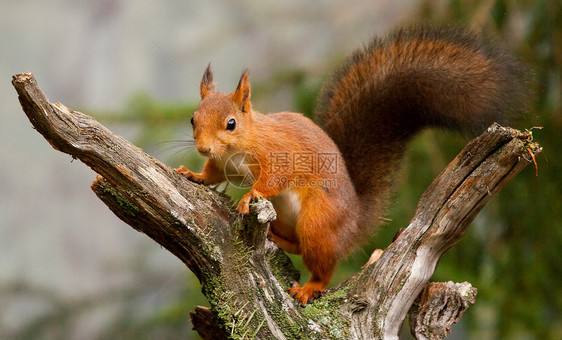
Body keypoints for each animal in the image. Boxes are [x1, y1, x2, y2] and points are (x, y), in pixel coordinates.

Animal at [174, 26, 524, 306]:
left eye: (231, 123)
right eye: (192, 119)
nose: (203, 148)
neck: (239, 147)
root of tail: (355, 219)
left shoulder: (280, 154)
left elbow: (273, 180)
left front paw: (249, 196)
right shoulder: (222, 164)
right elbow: (212, 175)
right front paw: (192, 174)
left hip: (317, 221)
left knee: (321, 263)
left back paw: (309, 287)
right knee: (298, 247)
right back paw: (277, 238)